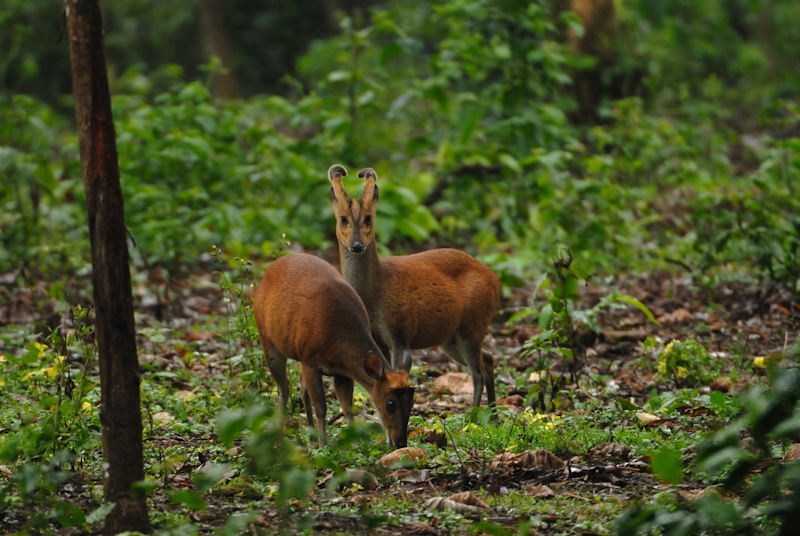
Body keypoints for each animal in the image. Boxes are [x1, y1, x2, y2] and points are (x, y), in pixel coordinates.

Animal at [252, 253, 416, 446]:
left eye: (412, 401)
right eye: (390, 404)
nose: (401, 442)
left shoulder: (342, 371)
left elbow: (347, 408)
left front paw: (354, 443)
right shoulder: (310, 360)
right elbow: (321, 408)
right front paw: (323, 445)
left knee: (301, 387)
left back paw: (309, 436)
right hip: (267, 338)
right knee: (283, 387)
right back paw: (279, 435)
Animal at [326, 164, 500, 406]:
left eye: (369, 218)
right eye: (343, 219)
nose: (357, 245)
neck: (374, 293)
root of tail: (495, 281)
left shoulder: (401, 332)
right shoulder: (379, 339)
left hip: (473, 325)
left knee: (478, 373)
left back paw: (473, 414)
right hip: (451, 337)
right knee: (489, 359)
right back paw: (492, 411)